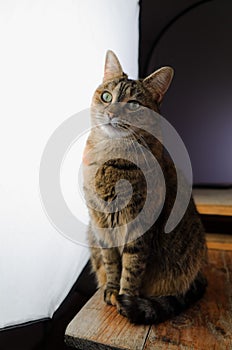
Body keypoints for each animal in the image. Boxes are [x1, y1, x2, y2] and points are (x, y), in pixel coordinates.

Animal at [82, 50, 208, 326]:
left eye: (133, 104)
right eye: (106, 96)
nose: (111, 113)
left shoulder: (140, 227)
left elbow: (132, 268)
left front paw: (125, 298)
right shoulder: (101, 226)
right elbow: (111, 264)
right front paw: (111, 290)